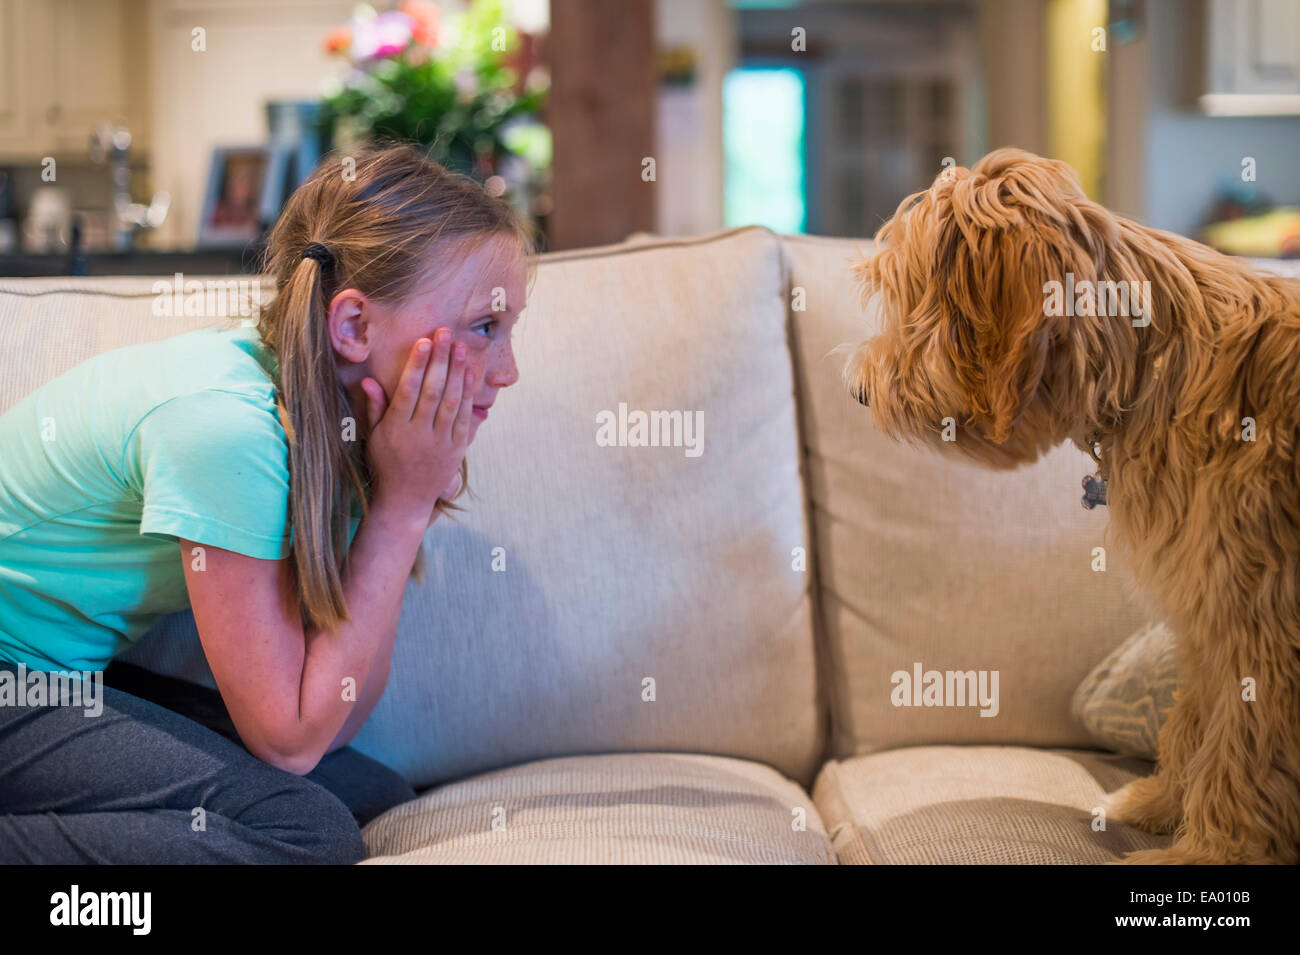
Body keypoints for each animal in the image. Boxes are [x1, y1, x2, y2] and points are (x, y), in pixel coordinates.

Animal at [842, 145, 1300, 862]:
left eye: (907, 297)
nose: (858, 392)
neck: (1153, 365)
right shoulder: (1206, 609)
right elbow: (1193, 720)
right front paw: (1161, 803)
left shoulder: (1259, 618)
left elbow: (1245, 748)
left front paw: (1212, 852)